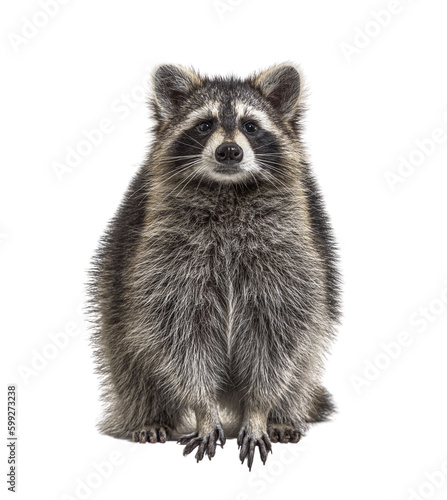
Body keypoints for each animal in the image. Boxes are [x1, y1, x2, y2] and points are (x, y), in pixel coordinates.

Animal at [87, 61, 342, 468]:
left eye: (251, 126)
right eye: (204, 125)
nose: (229, 151)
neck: (228, 191)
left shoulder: (291, 255)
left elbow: (279, 337)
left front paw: (260, 410)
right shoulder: (163, 258)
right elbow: (178, 337)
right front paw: (203, 410)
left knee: (302, 363)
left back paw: (284, 414)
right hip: (115, 301)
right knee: (129, 365)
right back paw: (148, 416)